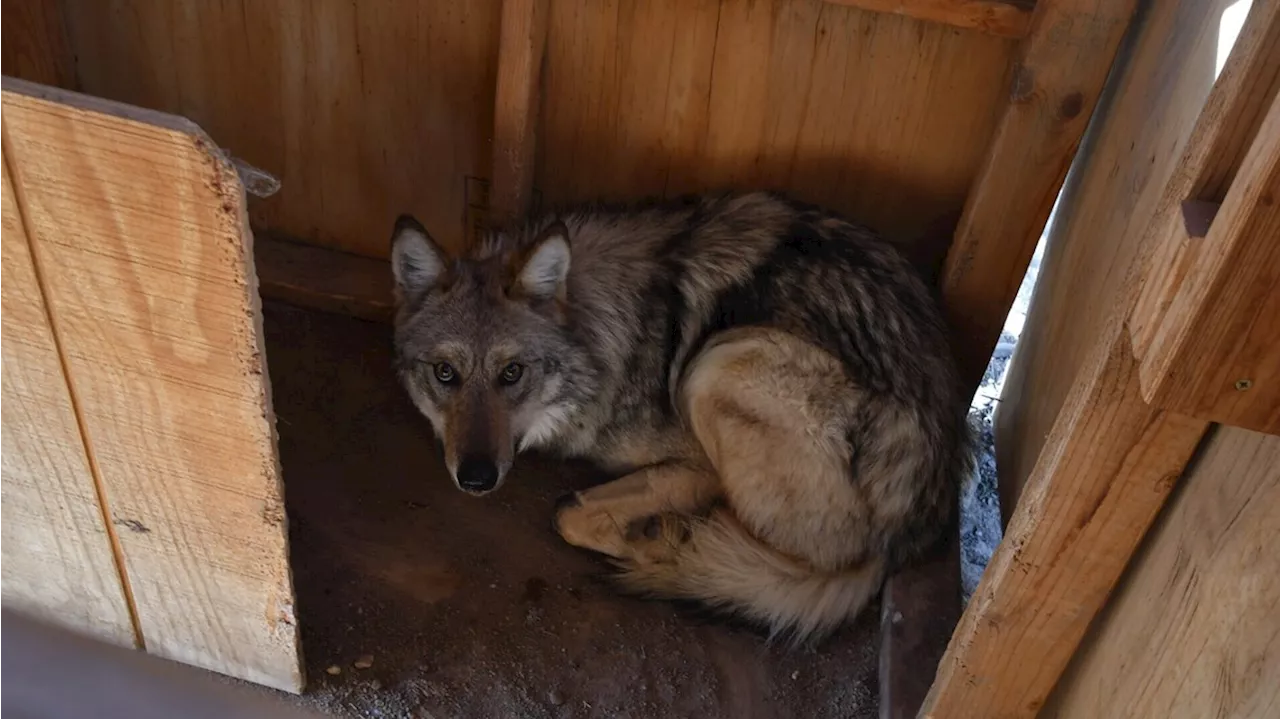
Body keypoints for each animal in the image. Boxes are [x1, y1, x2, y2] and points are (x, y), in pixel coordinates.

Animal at [386, 189, 967, 637]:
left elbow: (568, 513)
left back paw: (670, 542)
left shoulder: (697, 462)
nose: (476, 478)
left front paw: (649, 531)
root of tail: (902, 539)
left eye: (512, 373)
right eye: (445, 373)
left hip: (717, 365)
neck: (605, 334)